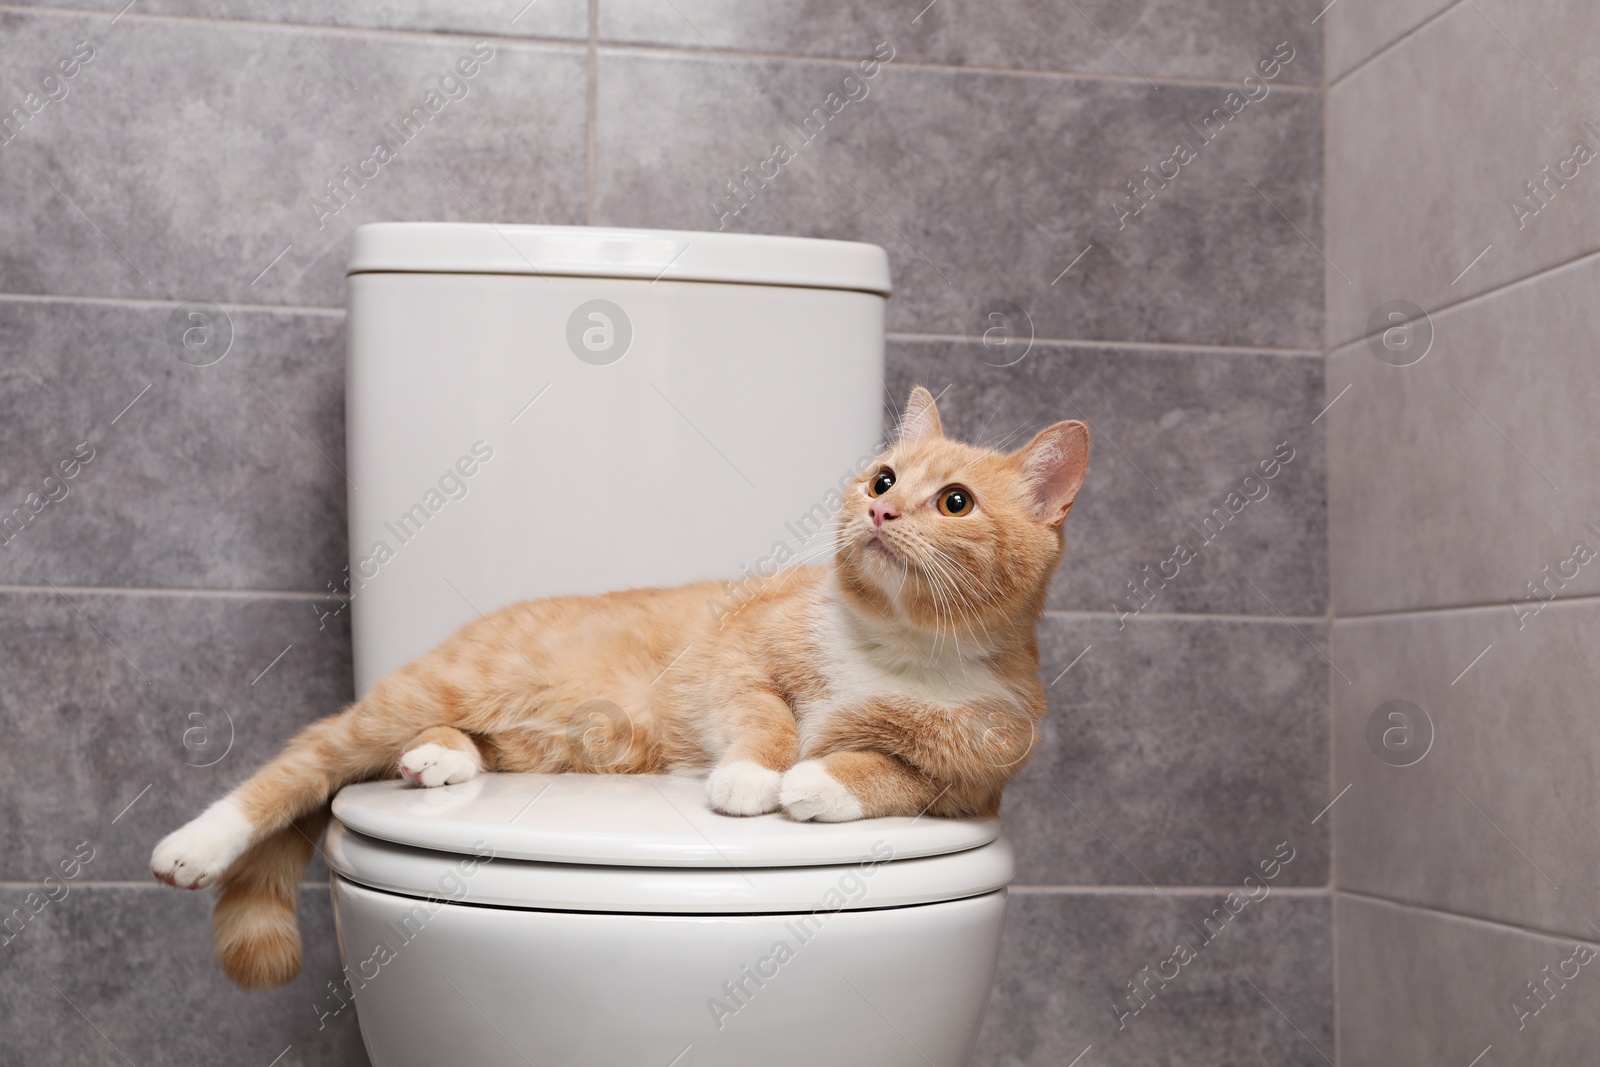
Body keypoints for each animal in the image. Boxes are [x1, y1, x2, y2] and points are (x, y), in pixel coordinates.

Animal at [150, 385, 1088, 991]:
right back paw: (195, 843)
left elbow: (890, 772)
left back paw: (440, 761)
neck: (895, 644)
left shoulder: (974, 787)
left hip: (566, 740)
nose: (882, 513)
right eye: (885, 478)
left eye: (955, 501)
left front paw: (821, 783)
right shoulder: (738, 658)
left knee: (450, 744)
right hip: (420, 693)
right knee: (304, 760)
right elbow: (765, 716)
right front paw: (757, 775)